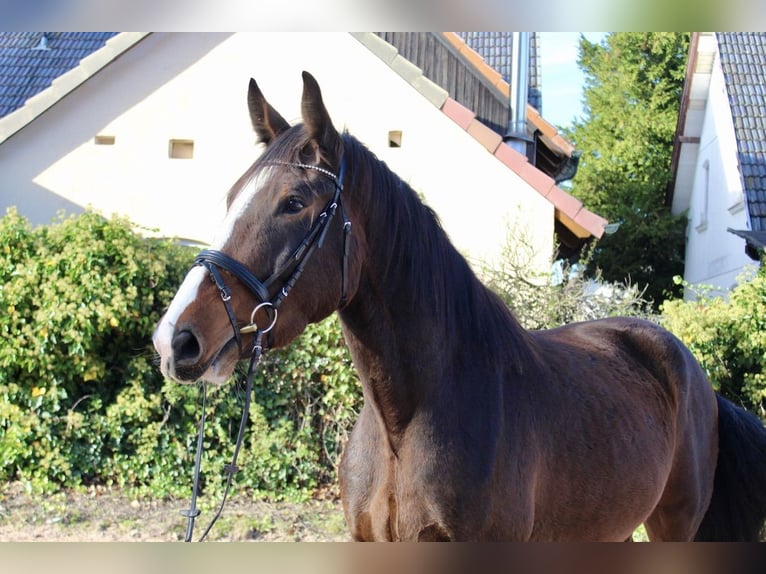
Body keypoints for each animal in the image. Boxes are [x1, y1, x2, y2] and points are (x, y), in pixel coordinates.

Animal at [153, 72, 766, 544]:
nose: (175, 339)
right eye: (231, 197)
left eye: (294, 202)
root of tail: (691, 372)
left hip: (674, 525)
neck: (406, 424)